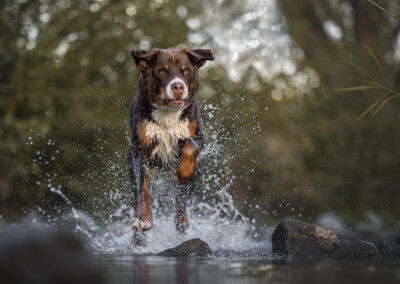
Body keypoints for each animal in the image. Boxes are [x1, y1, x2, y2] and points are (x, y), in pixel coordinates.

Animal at [129, 47, 216, 237]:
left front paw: (183, 170)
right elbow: (143, 190)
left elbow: (191, 148)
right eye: (162, 70)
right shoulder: (138, 149)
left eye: (186, 70)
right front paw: (143, 218)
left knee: (181, 201)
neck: (168, 114)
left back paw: (182, 221)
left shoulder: (197, 135)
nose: (178, 86)